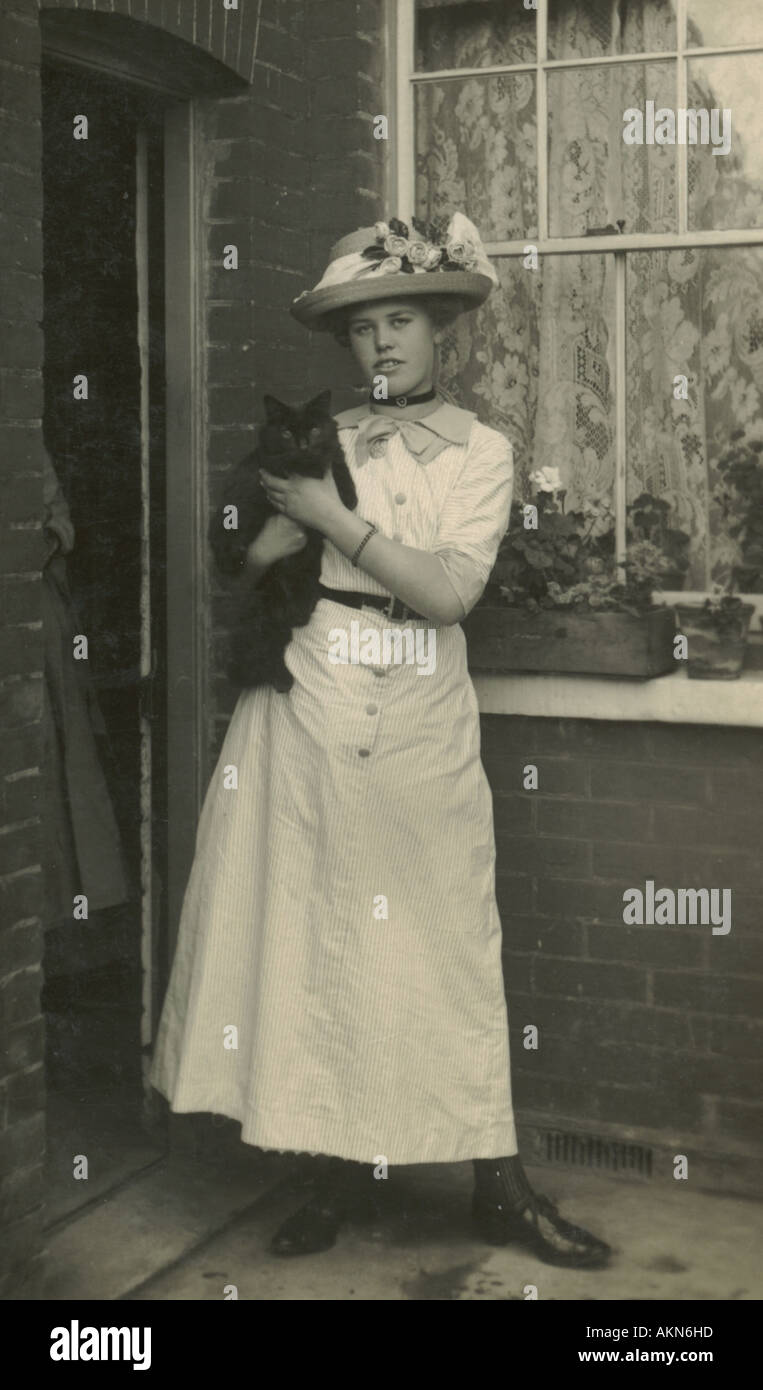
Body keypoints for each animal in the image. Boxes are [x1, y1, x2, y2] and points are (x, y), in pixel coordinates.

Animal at [208, 391, 355, 695]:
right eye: (286, 432)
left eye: (314, 429)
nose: (303, 445)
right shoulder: (248, 483)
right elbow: (230, 520)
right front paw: (230, 558)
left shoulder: (335, 469)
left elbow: (340, 473)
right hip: (260, 618)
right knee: (259, 656)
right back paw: (282, 680)